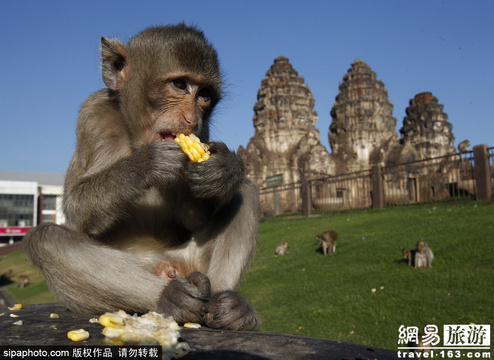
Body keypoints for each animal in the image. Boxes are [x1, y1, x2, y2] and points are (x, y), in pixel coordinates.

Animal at [22, 23, 262, 330]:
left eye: (205, 94)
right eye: (179, 85)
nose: (191, 119)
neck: (136, 136)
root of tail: (172, 268)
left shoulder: (204, 131)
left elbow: (195, 216)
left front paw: (225, 170)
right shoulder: (93, 114)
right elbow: (77, 210)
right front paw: (146, 164)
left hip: (191, 259)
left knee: (246, 192)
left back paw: (228, 306)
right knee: (48, 239)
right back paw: (170, 298)